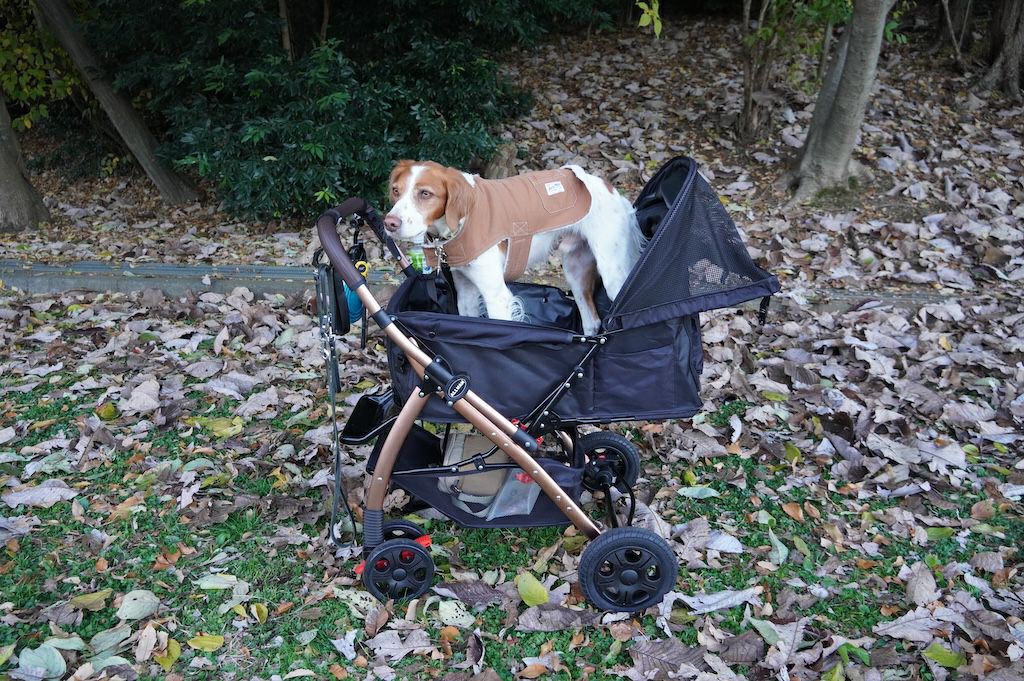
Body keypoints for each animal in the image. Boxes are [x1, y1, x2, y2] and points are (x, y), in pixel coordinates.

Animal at [383, 161, 642, 335]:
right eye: (396, 190)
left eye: (425, 193)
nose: (389, 223)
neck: (464, 219)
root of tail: (609, 187)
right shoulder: (466, 291)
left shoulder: (497, 296)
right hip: (576, 270)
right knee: (591, 322)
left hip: (613, 274)